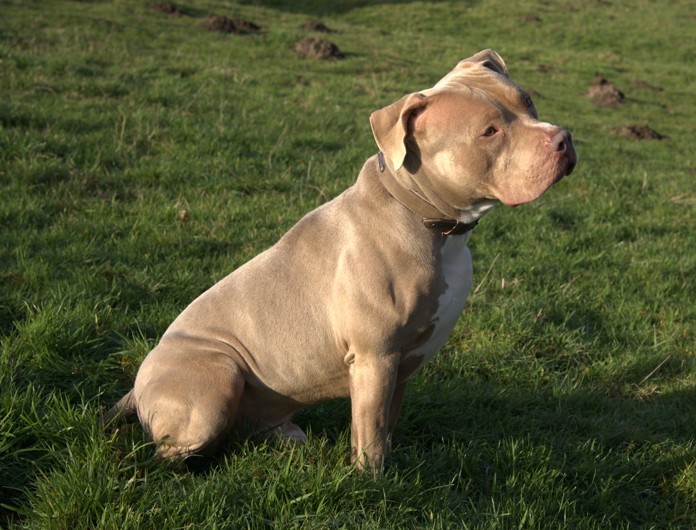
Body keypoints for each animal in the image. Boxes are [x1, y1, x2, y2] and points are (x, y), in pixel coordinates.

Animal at [107, 49, 576, 473]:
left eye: (527, 101)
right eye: (489, 131)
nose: (563, 138)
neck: (431, 223)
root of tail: (138, 381)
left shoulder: (403, 363)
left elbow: (386, 424)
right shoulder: (375, 357)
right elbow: (370, 433)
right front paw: (373, 482)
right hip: (219, 374)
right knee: (169, 452)